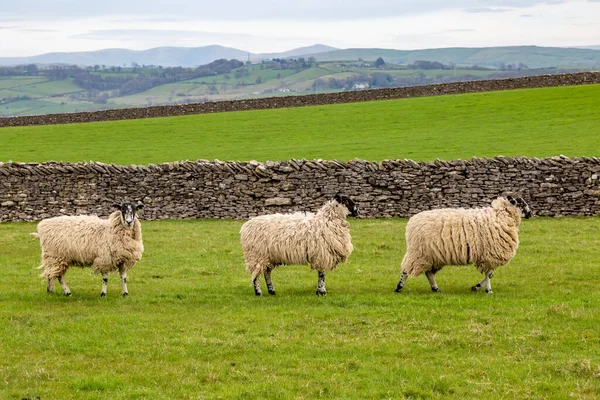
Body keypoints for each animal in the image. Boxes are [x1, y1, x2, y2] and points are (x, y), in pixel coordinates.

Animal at [396, 196, 532, 294]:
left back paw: (435, 289)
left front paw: (476, 287)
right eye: (521, 203)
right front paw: (488, 290)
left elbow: (490, 274)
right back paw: (399, 287)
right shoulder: (490, 255)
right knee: (406, 270)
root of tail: (411, 223)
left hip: (434, 256)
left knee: (429, 273)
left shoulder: (488, 256)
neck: (501, 216)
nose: (531, 213)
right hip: (419, 252)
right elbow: (489, 274)